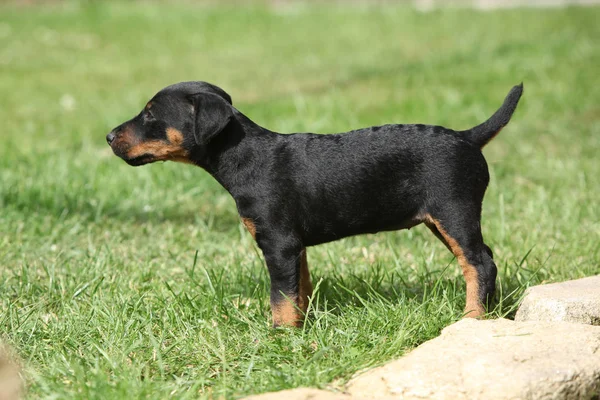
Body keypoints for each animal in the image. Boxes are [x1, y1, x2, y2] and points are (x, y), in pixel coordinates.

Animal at [110, 82, 524, 328]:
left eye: (150, 113)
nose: (109, 136)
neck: (245, 156)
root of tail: (468, 137)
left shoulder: (278, 244)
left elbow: (280, 297)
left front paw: (279, 336)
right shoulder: (294, 247)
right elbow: (299, 289)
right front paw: (301, 326)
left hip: (453, 212)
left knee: (479, 264)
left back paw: (472, 319)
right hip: (441, 219)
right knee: (483, 259)